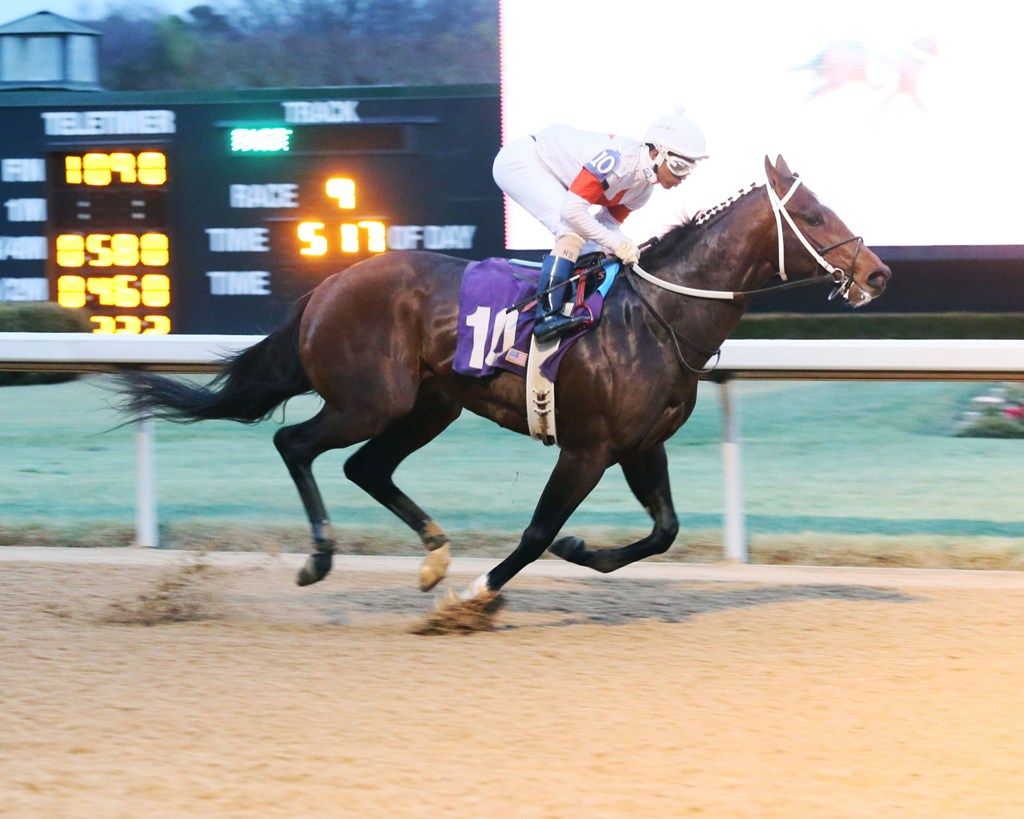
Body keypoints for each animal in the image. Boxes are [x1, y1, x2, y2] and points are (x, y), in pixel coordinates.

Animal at [119, 155, 891, 608]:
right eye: (814, 214)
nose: (879, 273)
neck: (657, 315)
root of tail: (326, 287)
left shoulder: (644, 445)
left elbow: (664, 530)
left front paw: (582, 552)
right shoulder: (587, 448)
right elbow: (538, 528)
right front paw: (476, 593)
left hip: (428, 407)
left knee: (366, 467)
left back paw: (433, 556)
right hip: (372, 400)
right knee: (296, 444)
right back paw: (322, 559)